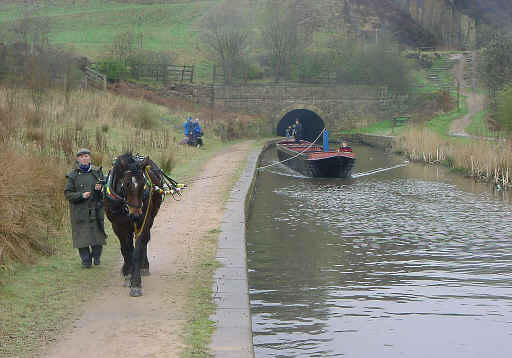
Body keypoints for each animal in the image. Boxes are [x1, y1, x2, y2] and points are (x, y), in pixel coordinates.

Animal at [103, 152, 181, 296]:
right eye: (126, 184)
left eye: (143, 184)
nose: (135, 214)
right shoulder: (118, 226)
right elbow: (126, 249)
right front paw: (128, 272)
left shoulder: (142, 221)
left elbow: (138, 248)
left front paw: (135, 282)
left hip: (150, 216)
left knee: (144, 240)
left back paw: (143, 266)